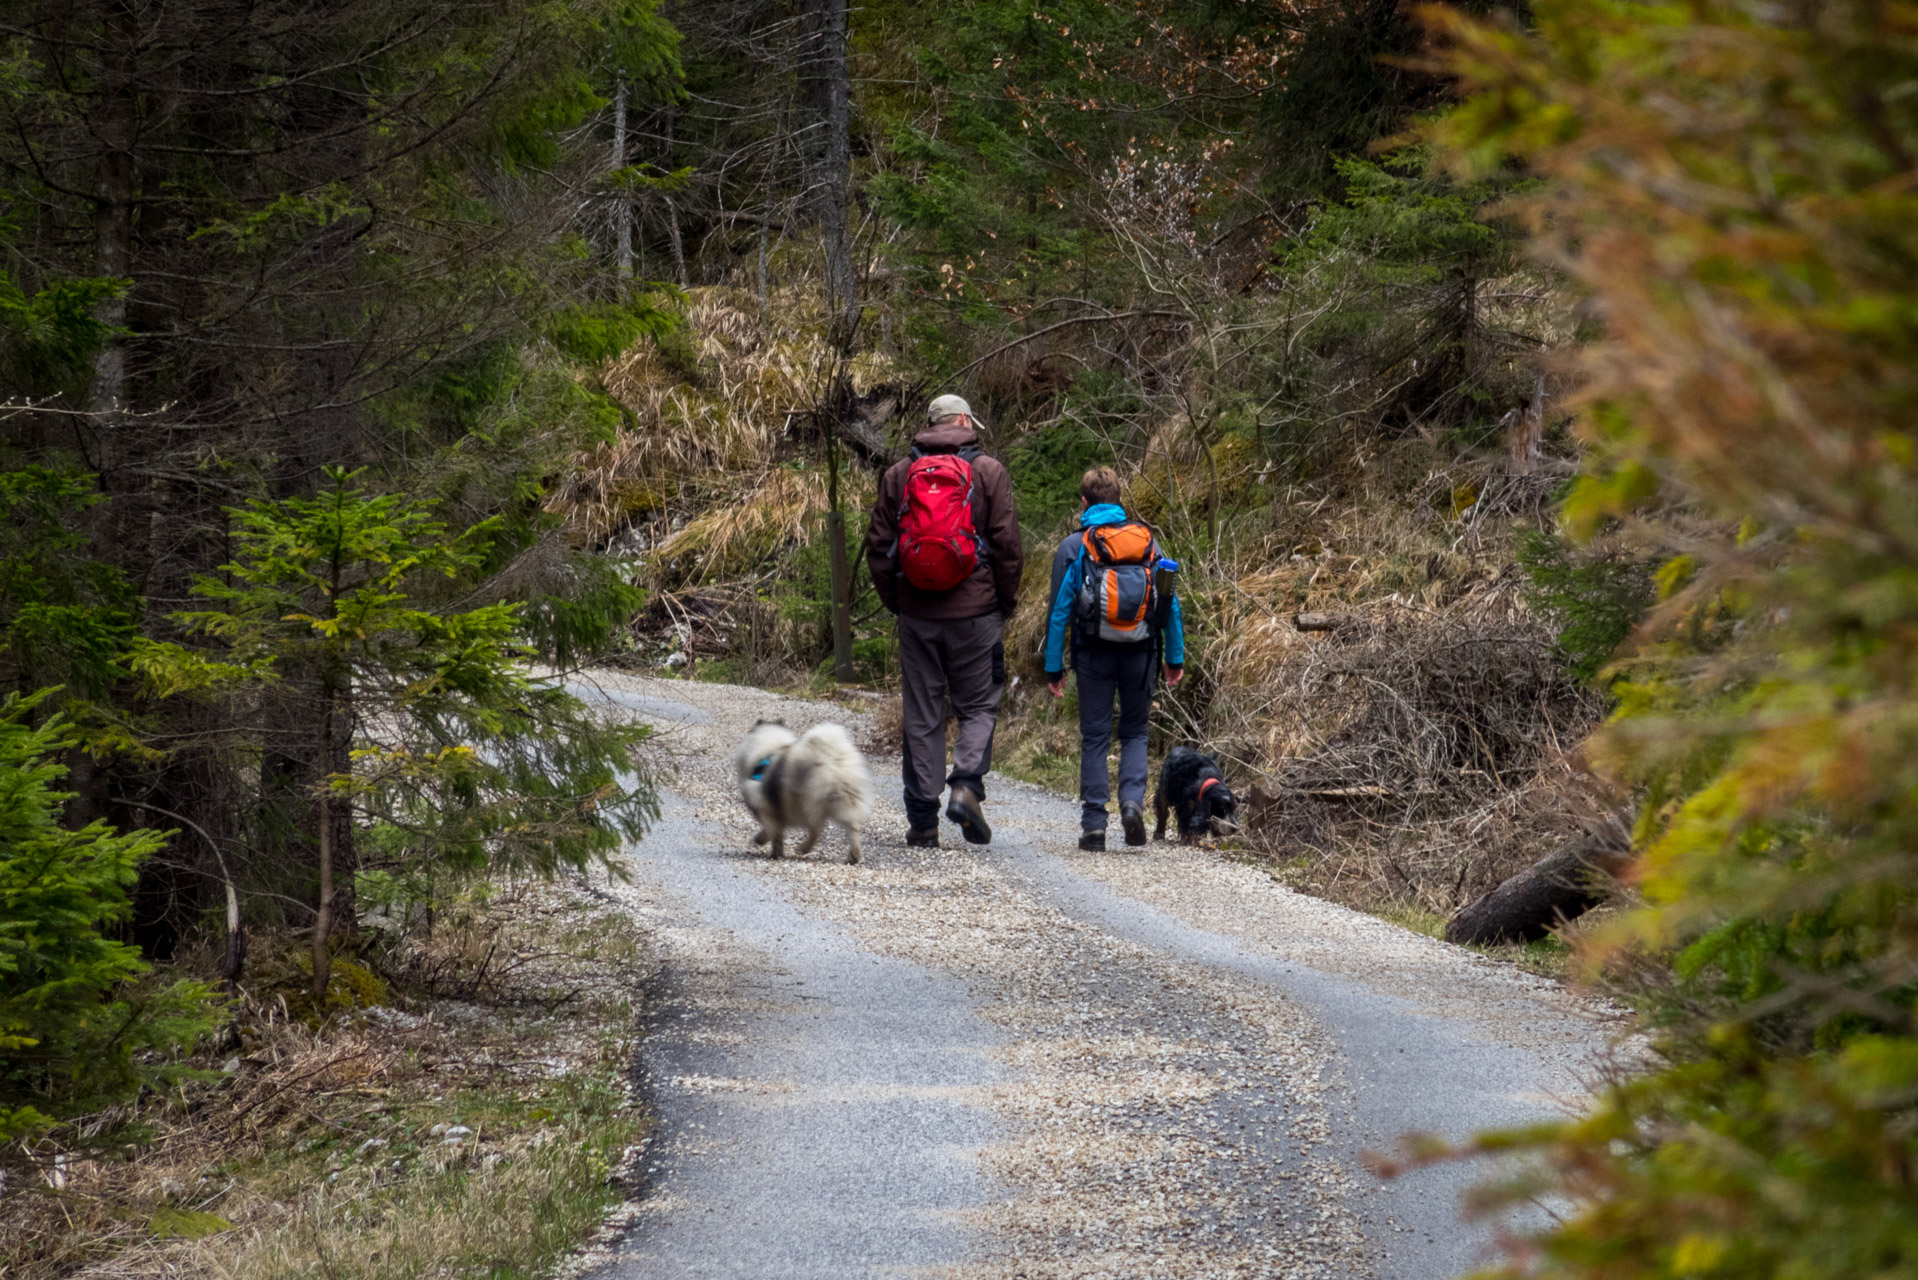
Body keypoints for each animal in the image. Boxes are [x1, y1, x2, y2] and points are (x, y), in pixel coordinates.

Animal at [728, 717, 874, 867]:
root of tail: (833, 759)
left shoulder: (766, 808)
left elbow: (773, 832)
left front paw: (769, 847)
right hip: (844, 800)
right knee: (852, 828)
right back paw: (853, 856)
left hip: (807, 803)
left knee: (816, 829)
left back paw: (803, 848)